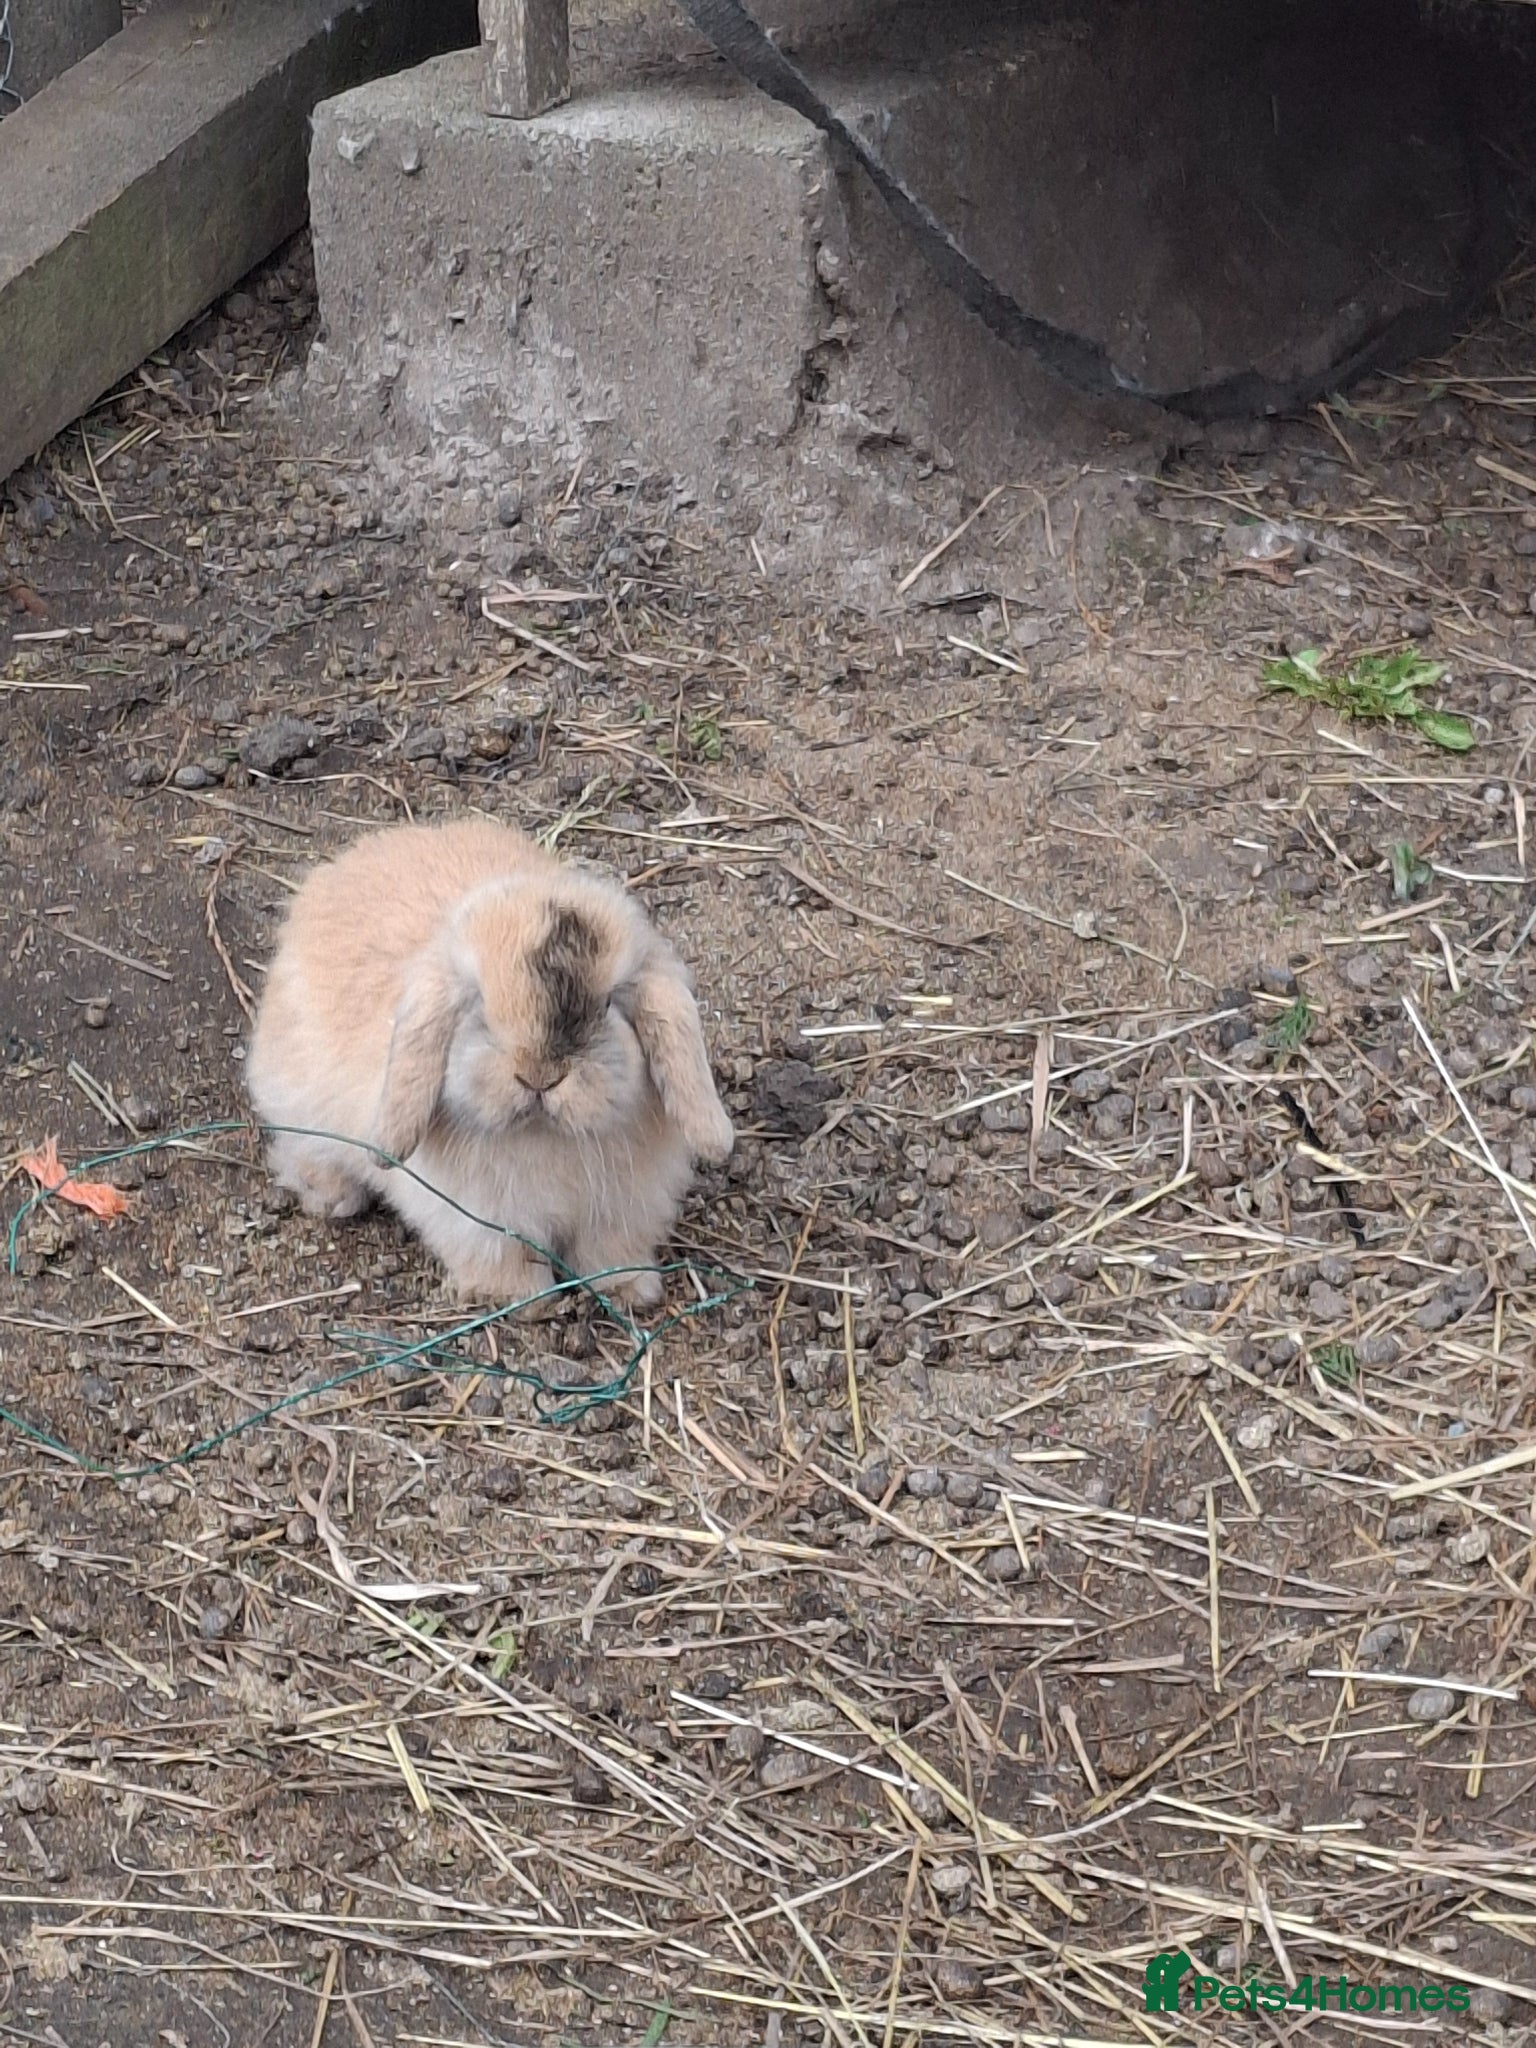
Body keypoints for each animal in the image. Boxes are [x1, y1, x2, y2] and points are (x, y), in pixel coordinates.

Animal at [245, 818, 734, 1308]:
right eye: (478, 1002)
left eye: (609, 1003)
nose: (538, 1077)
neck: (543, 1135)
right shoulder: (479, 1219)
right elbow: (501, 1255)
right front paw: (522, 1300)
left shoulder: (622, 1209)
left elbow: (609, 1251)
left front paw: (631, 1289)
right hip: (301, 1106)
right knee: (299, 1150)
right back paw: (334, 1197)